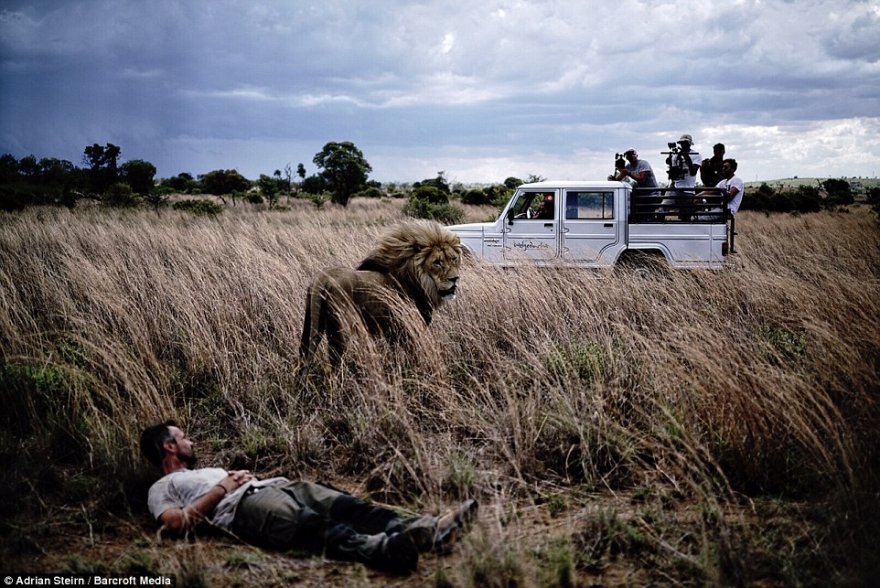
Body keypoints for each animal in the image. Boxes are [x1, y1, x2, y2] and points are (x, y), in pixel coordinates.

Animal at [300, 218, 464, 360]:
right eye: (437, 262)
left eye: (453, 258)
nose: (455, 279)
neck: (418, 282)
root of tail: (322, 279)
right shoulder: (408, 330)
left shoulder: (392, 333)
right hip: (341, 330)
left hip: (311, 323)